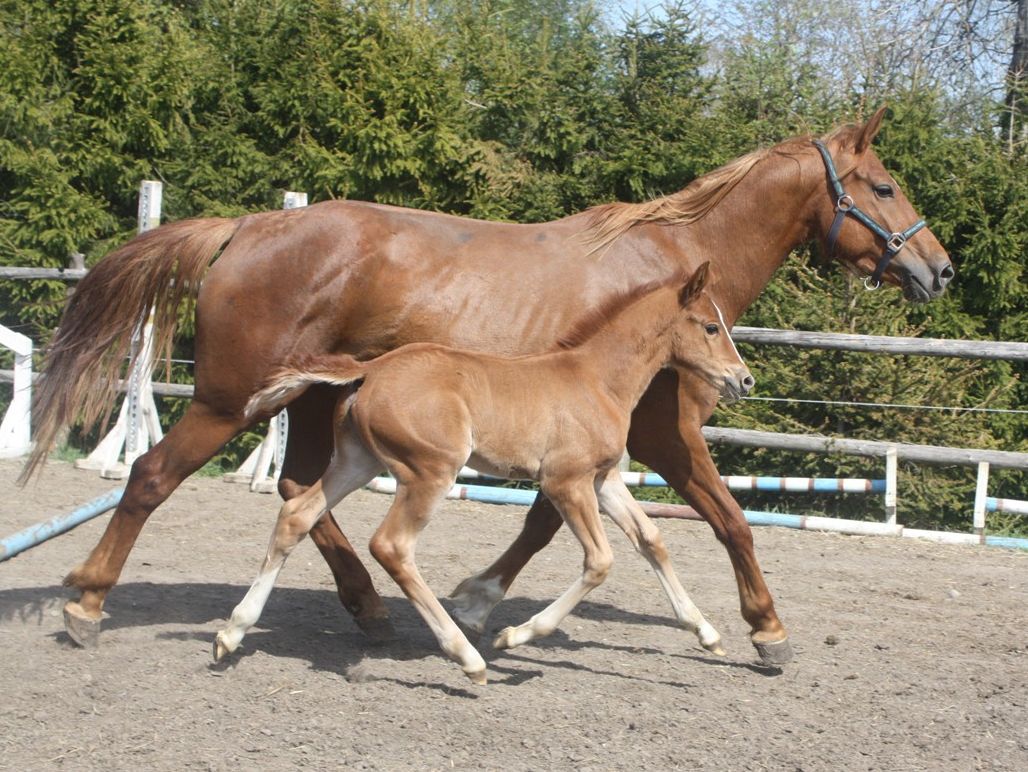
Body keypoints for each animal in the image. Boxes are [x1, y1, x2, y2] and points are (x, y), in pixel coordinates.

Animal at [212, 265, 752, 682]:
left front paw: (707, 633)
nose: (743, 380)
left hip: (357, 461)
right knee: (392, 546)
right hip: (429, 471)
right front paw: (515, 635)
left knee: (297, 516)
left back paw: (231, 633)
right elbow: (600, 561)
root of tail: (370, 371)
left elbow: (652, 540)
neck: (597, 379)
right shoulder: (566, 482)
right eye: (710, 327)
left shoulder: (603, 479)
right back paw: (467, 657)